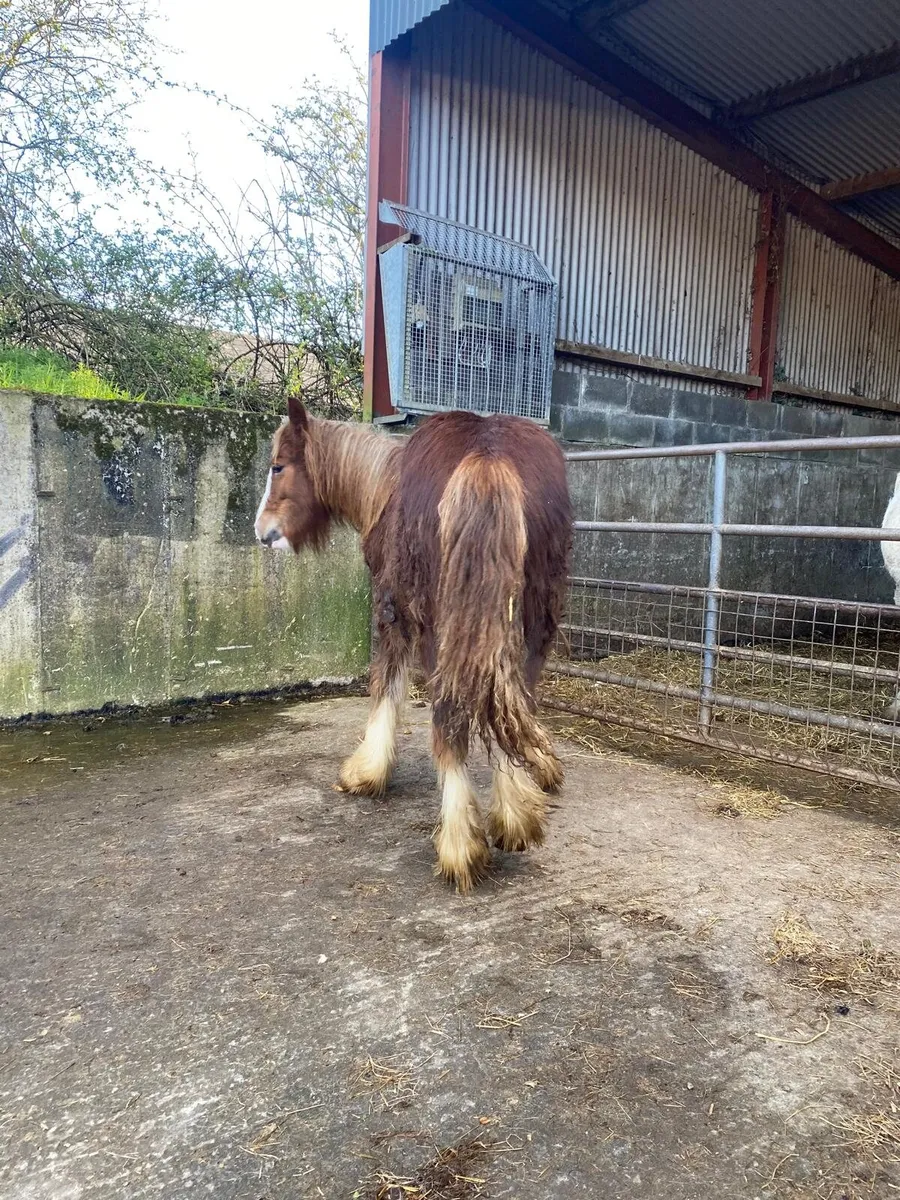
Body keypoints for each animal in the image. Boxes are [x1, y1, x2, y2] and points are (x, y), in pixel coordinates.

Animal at [255, 397, 573, 891]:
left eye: (278, 466)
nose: (262, 530)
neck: (380, 489)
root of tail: (487, 459)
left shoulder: (391, 610)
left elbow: (386, 684)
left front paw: (366, 771)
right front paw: (542, 766)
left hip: (439, 625)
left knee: (451, 717)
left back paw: (460, 844)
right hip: (532, 617)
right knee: (507, 703)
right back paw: (515, 813)